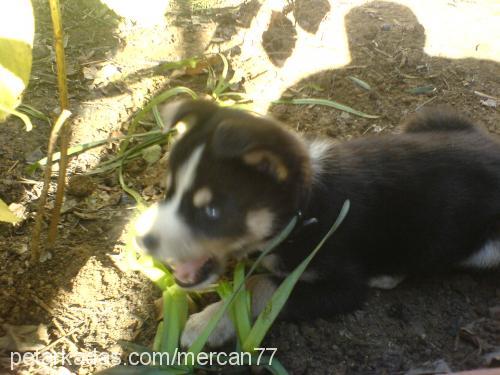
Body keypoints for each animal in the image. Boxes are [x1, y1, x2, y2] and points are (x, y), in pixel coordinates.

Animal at [134, 100, 500, 350]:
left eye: (211, 211)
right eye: (168, 192)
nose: (144, 242)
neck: (304, 211)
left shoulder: (342, 285)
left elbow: (262, 285)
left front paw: (207, 322)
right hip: (429, 118)